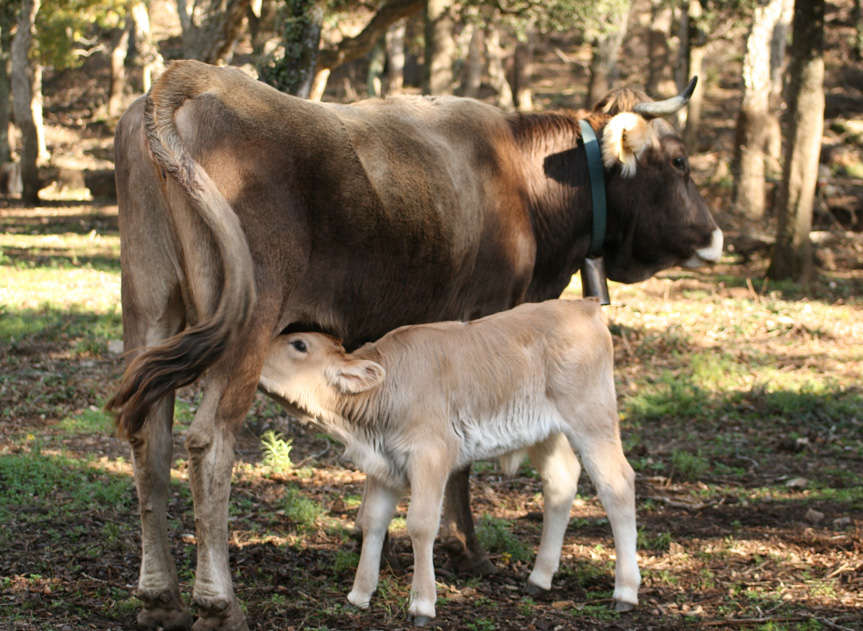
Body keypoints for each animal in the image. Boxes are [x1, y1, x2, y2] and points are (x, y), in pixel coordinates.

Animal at [260, 298, 636, 624]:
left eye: (299, 344)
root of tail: (582, 304)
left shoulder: (431, 454)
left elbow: (421, 524)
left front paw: (422, 605)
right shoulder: (384, 465)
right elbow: (373, 521)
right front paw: (359, 594)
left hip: (592, 417)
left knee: (617, 484)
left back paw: (626, 592)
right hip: (544, 431)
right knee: (561, 479)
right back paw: (540, 577)